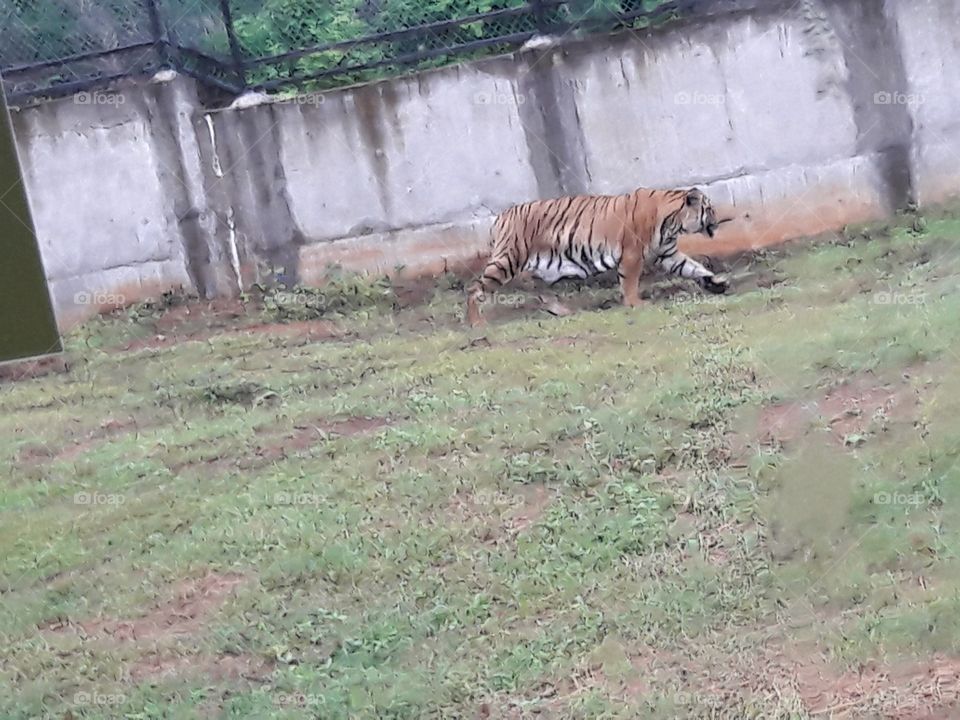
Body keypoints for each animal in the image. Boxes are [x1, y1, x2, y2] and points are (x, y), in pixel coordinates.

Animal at [465, 187, 729, 326]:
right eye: (709, 209)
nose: (719, 220)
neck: (673, 222)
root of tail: (500, 217)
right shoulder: (632, 254)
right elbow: (630, 281)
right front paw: (635, 304)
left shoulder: (667, 253)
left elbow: (693, 267)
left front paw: (717, 283)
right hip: (507, 260)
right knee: (474, 289)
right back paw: (476, 322)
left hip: (537, 267)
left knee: (540, 291)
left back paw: (563, 311)